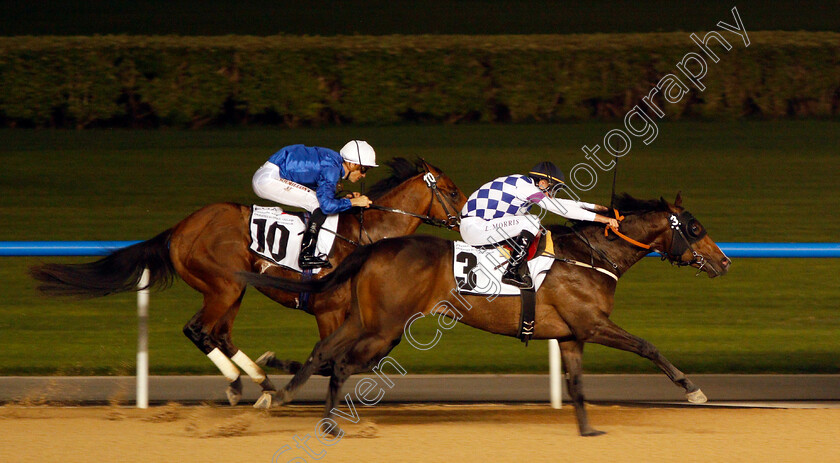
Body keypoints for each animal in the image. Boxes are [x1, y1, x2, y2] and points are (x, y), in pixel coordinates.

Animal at [31, 158, 466, 408]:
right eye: (452, 190)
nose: (467, 217)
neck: (367, 235)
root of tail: (180, 229)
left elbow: (342, 358)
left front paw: (277, 374)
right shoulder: (329, 310)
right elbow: (325, 357)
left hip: (231, 290)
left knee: (219, 333)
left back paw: (258, 380)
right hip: (223, 285)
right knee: (198, 329)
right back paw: (242, 383)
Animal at [238, 194, 728, 436]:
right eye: (696, 228)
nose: (724, 262)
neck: (591, 257)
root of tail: (374, 248)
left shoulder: (571, 336)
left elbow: (577, 384)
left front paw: (588, 431)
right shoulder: (592, 324)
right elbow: (648, 345)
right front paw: (693, 390)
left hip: (367, 320)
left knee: (325, 350)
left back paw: (285, 395)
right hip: (384, 328)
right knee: (339, 362)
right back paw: (320, 419)